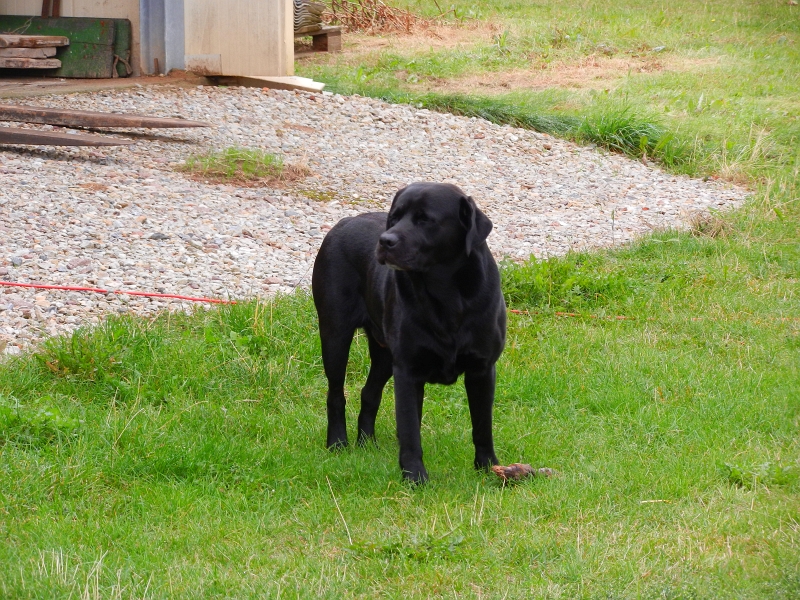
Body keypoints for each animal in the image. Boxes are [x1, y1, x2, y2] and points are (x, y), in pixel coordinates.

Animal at [312, 182, 506, 482]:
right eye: (395, 217)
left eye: (425, 219)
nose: (385, 241)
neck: (447, 295)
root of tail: (344, 222)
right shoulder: (407, 370)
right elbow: (410, 430)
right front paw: (414, 477)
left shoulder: (482, 368)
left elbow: (482, 426)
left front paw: (488, 469)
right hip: (334, 335)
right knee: (335, 394)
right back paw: (338, 443)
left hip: (383, 355)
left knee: (369, 393)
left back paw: (367, 443)